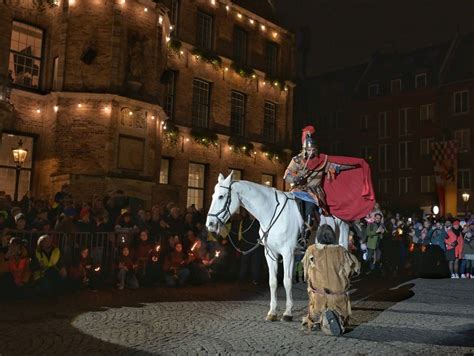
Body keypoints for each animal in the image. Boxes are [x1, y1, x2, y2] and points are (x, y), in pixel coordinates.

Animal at [206, 172, 350, 322]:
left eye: (221, 196)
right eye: (213, 196)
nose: (210, 224)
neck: (270, 212)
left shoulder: (288, 254)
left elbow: (287, 281)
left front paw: (288, 313)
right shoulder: (270, 253)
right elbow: (273, 282)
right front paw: (272, 312)